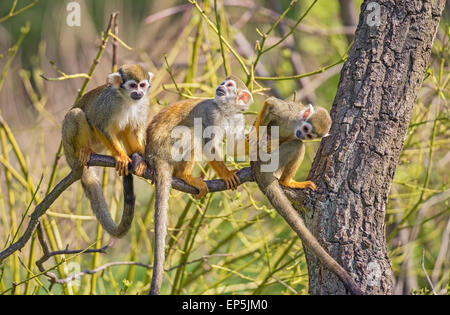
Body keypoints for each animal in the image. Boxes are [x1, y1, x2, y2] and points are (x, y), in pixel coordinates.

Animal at [61, 63, 154, 237]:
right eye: (133, 85)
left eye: (142, 85)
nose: (139, 93)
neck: (126, 99)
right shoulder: (108, 103)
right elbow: (99, 124)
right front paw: (120, 157)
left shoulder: (143, 104)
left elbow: (133, 130)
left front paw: (142, 160)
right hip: (68, 145)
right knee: (76, 114)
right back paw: (84, 152)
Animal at [143, 75, 253, 296]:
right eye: (223, 82)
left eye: (229, 85)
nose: (220, 86)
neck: (227, 112)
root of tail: (152, 154)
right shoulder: (211, 114)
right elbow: (209, 145)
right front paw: (227, 174)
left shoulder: (238, 118)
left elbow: (235, 145)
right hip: (166, 148)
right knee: (190, 132)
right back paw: (184, 175)